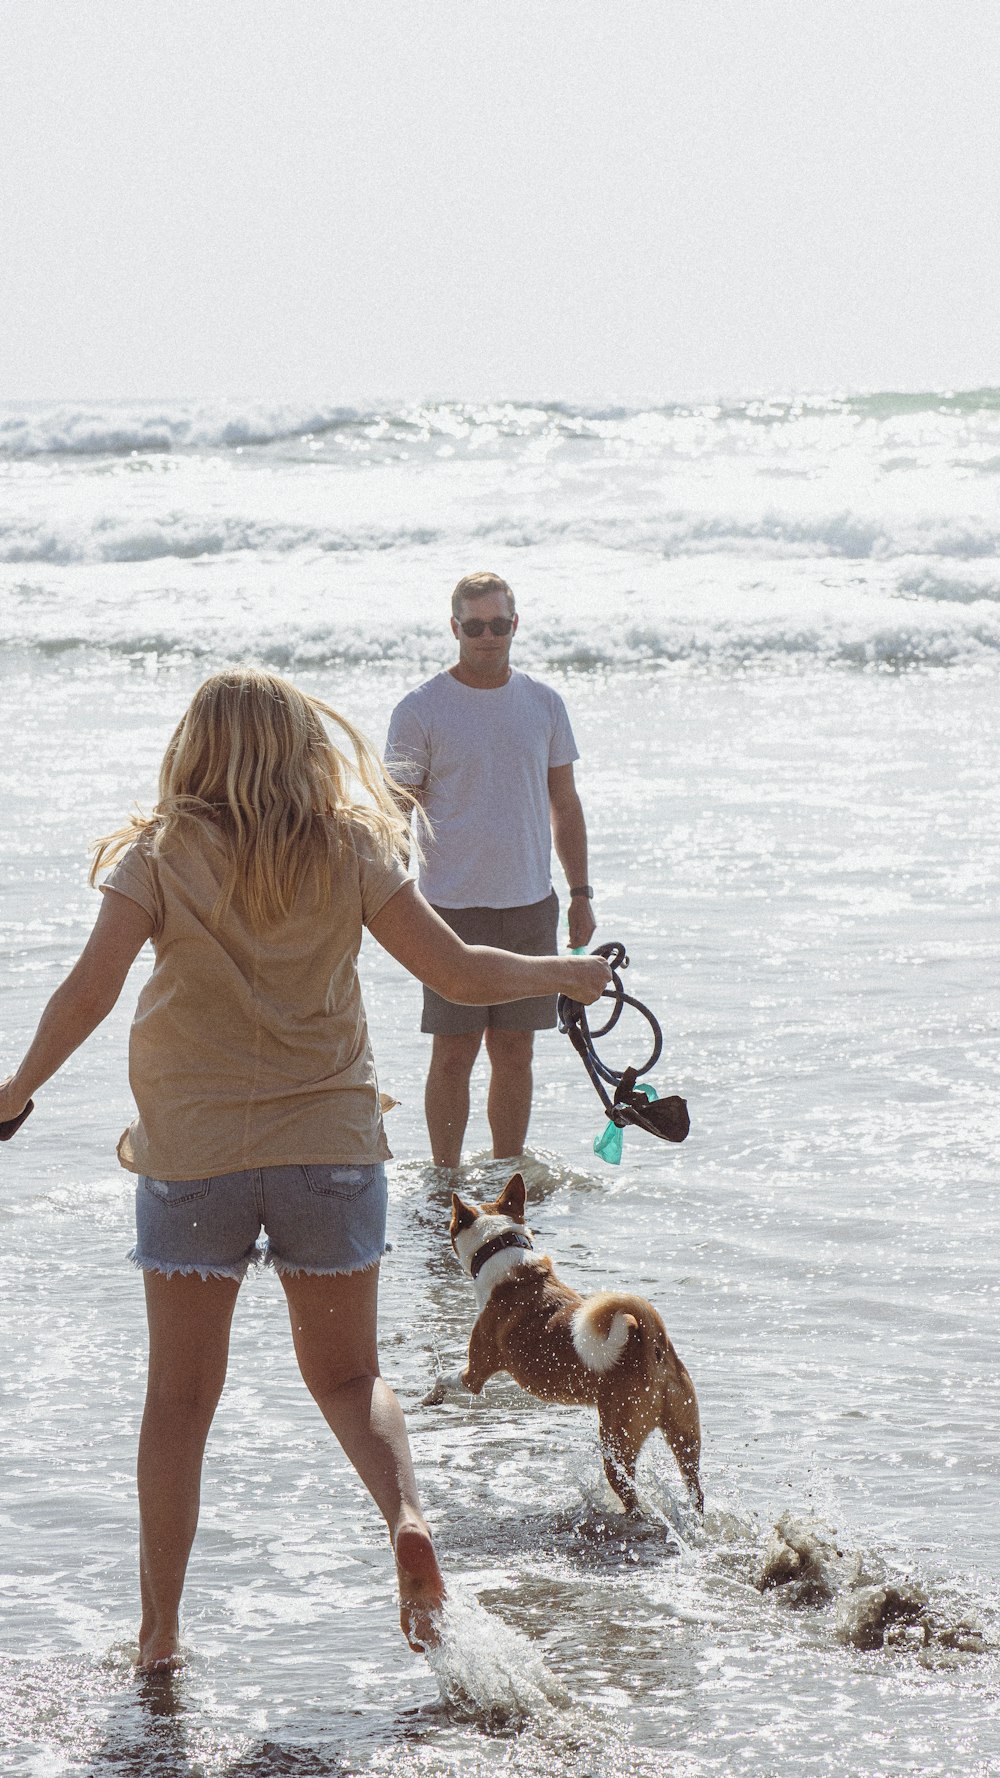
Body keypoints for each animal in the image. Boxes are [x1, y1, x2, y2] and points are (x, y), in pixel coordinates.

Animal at [423, 1173, 697, 1507]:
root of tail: (651, 1345)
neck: (502, 1252)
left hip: (617, 1443)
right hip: (686, 1439)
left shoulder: (473, 1374)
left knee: (633, 1499)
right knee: (695, 1492)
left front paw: (431, 1396)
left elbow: (443, 1376)